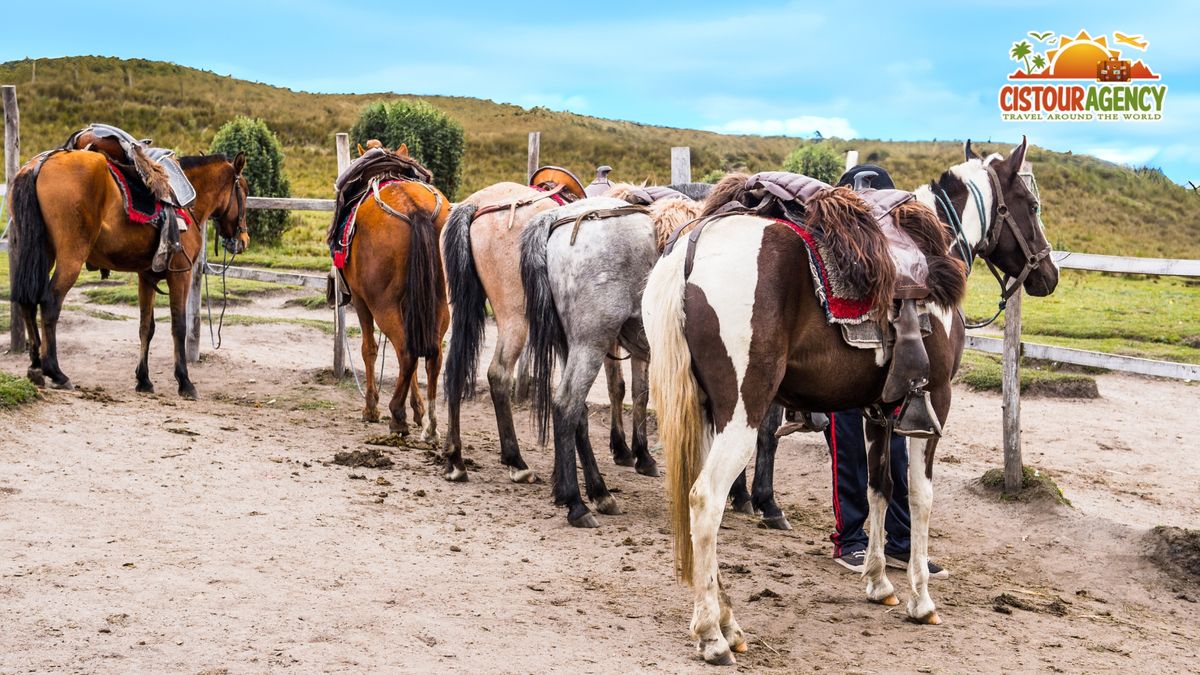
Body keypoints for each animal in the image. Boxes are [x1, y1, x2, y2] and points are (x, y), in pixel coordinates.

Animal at [5, 149, 246, 396]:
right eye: (244, 193)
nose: (243, 239)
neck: (187, 202)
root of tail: (40, 164)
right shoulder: (180, 275)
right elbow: (179, 326)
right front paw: (184, 381)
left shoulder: (146, 277)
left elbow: (146, 327)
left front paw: (144, 379)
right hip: (71, 256)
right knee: (50, 302)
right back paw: (55, 372)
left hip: (39, 252)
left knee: (28, 302)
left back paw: (35, 366)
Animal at [333, 148, 451, 437]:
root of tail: (414, 208)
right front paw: (418, 409)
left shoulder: (361, 301)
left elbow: (369, 349)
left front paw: (371, 408)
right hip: (439, 302)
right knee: (431, 354)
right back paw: (431, 424)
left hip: (381, 304)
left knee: (406, 351)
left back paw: (396, 415)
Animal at [520, 195, 662, 526]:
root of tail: (558, 217)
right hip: (591, 342)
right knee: (567, 405)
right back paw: (576, 503)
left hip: (570, 344)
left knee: (579, 413)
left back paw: (599, 492)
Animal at [648, 138, 1060, 662]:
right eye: (1030, 205)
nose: (1048, 272)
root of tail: (691, 249)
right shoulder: (935, 402)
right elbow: (921, 496)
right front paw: (921, 599)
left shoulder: (879, 412)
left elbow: (878, 487)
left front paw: (879, 582)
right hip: (743, 413)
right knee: (706, 500)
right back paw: (711, 634)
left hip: (706, 415)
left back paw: (729, 622)